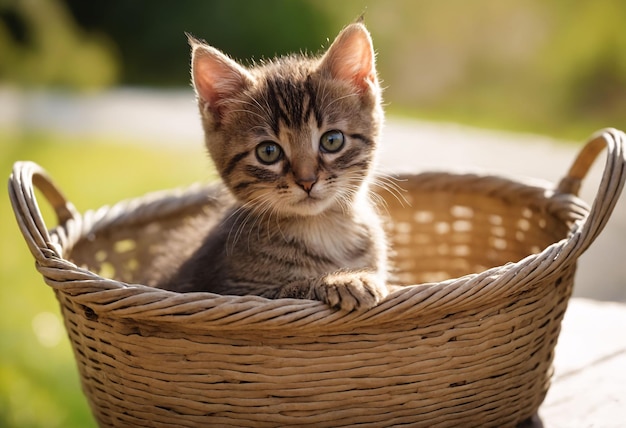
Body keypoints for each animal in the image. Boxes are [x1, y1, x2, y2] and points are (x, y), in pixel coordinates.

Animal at [166, 23, 390, 310]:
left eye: (332, 140)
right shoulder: (228, 292)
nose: (307, 181)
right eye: (268, 152)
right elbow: (287, 290)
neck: (323, 228)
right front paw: (343, 280)